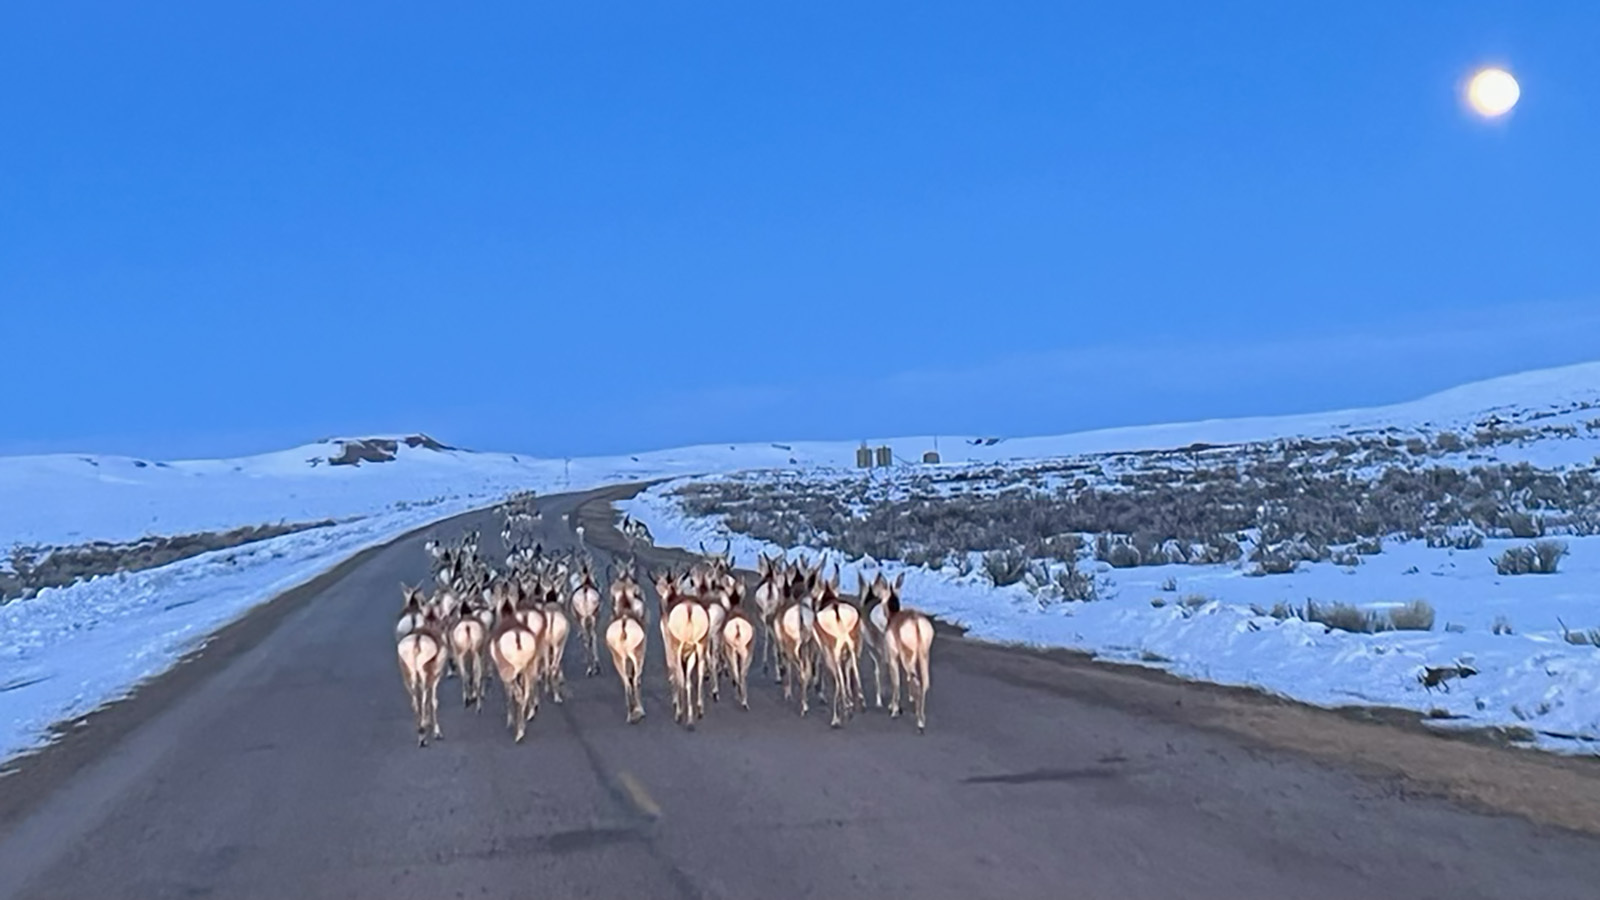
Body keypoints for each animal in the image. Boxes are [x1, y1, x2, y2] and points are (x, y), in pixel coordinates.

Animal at [396, 599, 446, 746]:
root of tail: (417, 640)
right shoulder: (436, 677)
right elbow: (433, 701)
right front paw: (437, 732)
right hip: (425, 677)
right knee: (423, 700)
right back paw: (423, 737)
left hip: (410, 677)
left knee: (415, 701)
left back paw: (421, 731)